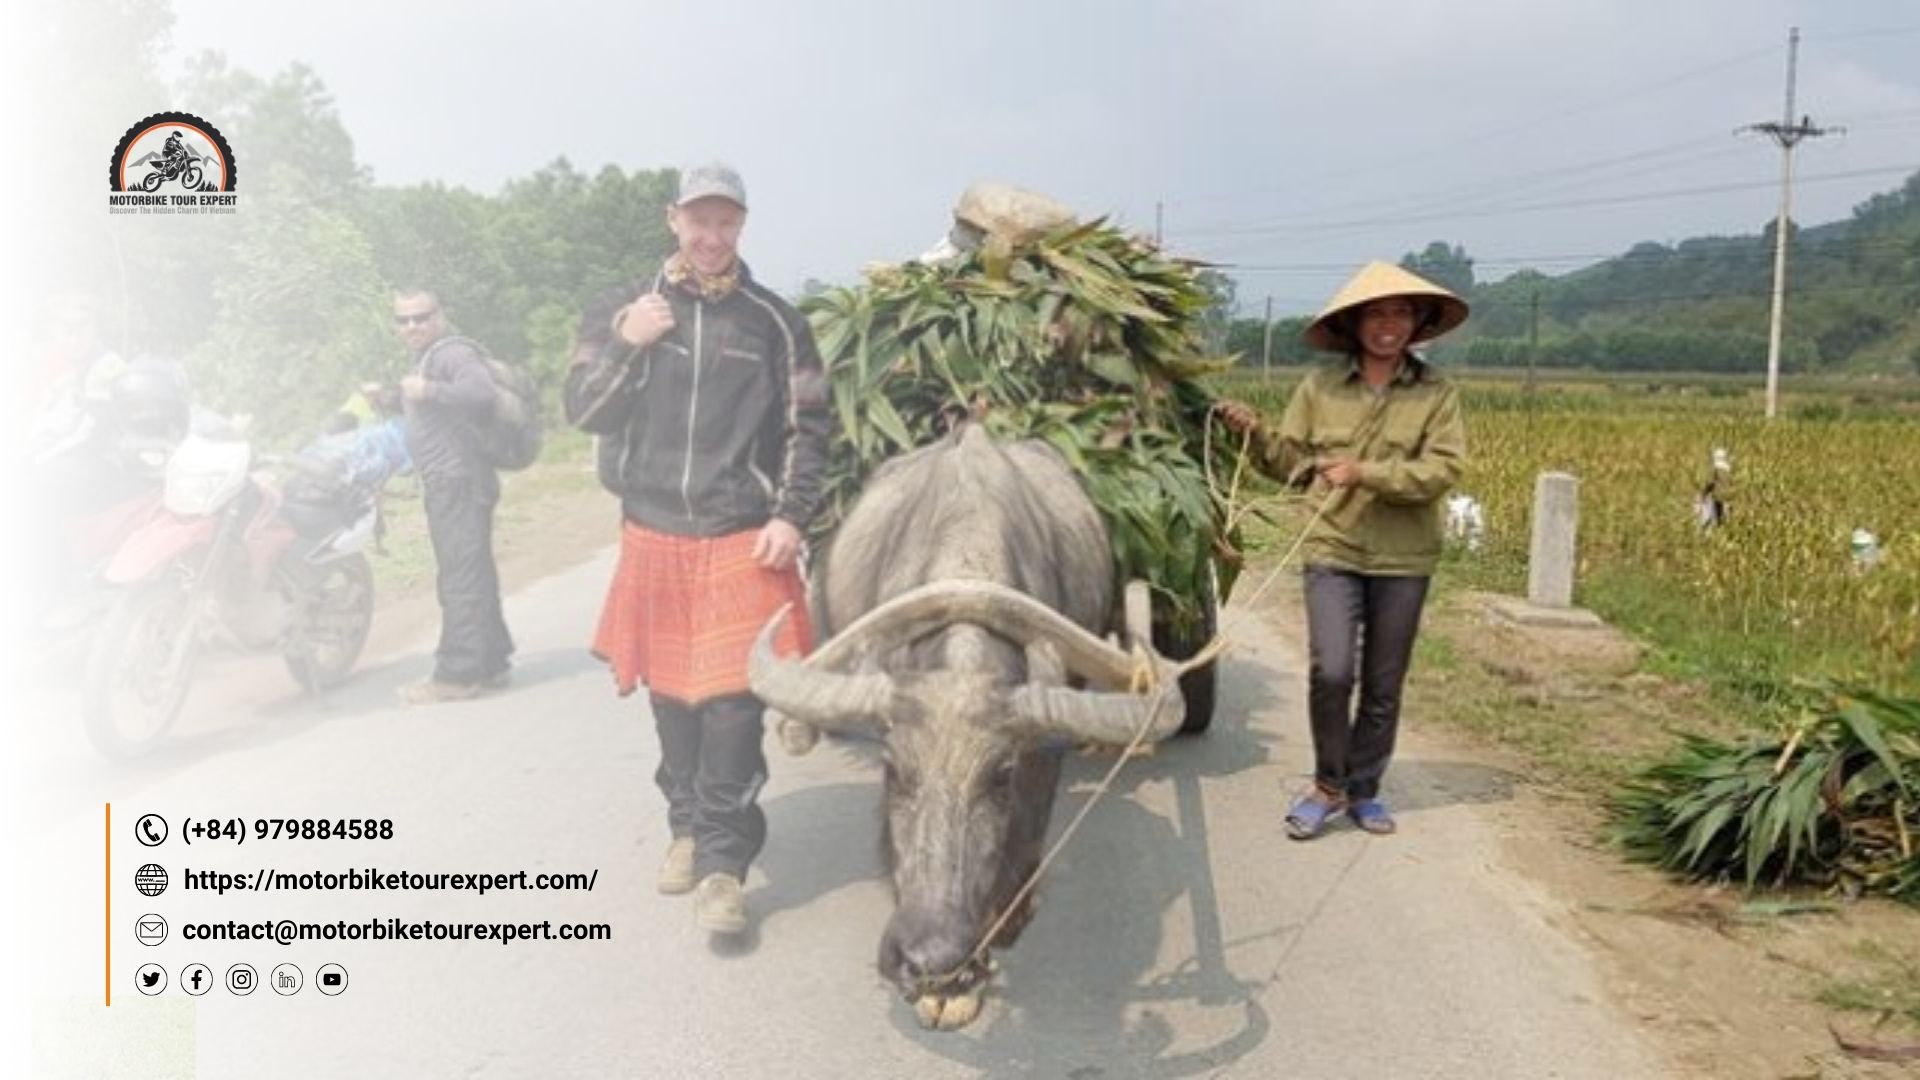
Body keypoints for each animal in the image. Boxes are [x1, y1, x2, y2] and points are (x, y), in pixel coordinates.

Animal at [748, 420, 1182, 1022]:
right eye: (894, 771)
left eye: (1001, 777)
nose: (932, 959)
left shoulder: (1043, 751)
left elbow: (1026, 836)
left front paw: (990, 944)